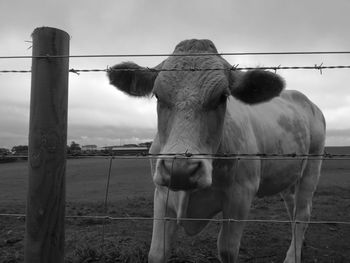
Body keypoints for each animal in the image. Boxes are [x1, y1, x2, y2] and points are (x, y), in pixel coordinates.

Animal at [106, 39, 326, 263]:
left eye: (222, 96)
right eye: (158, 95)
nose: (180, 170)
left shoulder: (241, 195)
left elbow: (227, 250)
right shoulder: (161, 193)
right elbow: (157, 252)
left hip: (312, 167)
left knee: (303, 213)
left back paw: (293, 255)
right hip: (288, 175)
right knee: (292, 208)